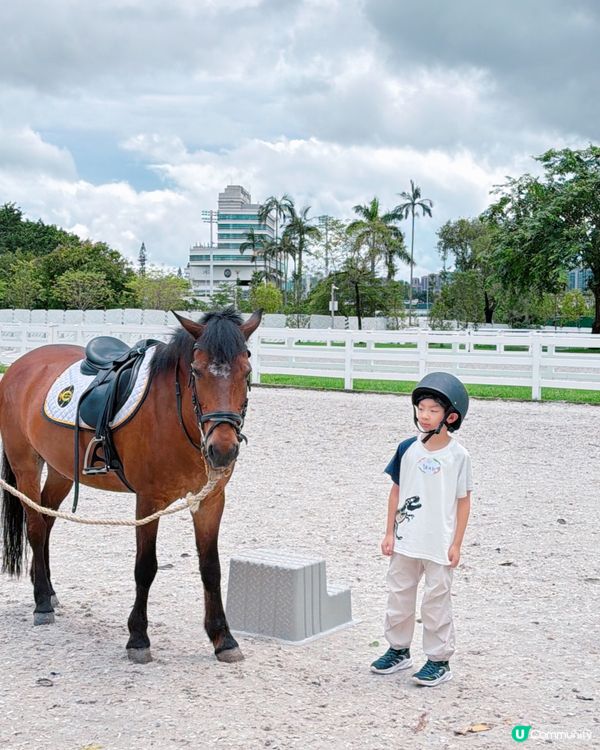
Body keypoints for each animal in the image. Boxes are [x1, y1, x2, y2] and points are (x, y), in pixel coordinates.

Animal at [0, 308, 262, 664]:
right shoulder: (148, 501)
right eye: (196, 371)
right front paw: (138, 638)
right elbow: (145, 567)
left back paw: (48, 591)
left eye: (246, 372)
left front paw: (223, 638)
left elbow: (211, 567)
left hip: (60, 471)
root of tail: (20, 365)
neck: (175, 413)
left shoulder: (210, 500)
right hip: (25, 465)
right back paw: (41, 602)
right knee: (36, 527)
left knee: (47, 521)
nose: (222, 449)